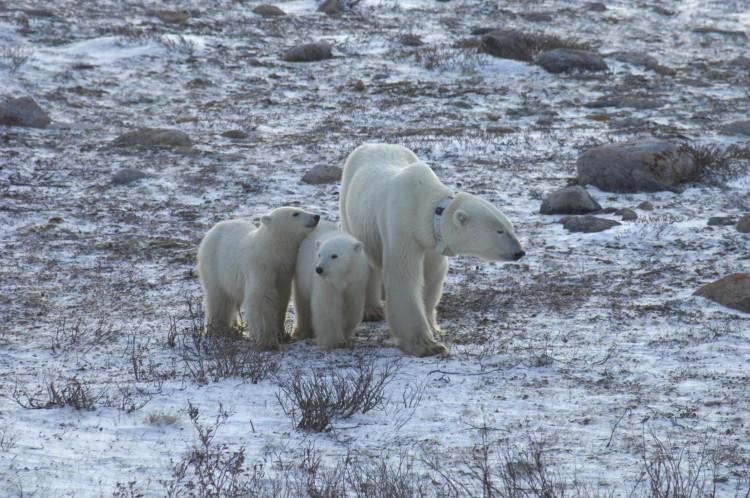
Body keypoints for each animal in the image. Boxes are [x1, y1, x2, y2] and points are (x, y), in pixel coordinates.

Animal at [196, 206, 320, 350]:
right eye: (295, 213)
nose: (316, 216)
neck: (270, 253)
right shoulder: (260, 269)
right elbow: (262, 299)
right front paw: (268, 341)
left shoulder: (283, 273)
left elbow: (281, 299)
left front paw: (281, 333)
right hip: (214, 265)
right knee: (219, 297)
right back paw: (218, 329)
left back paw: (235, 326)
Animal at [292, 221, 369, 349]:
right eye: (319, 254)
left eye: (334, 255)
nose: (319, 269)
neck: (341, 277)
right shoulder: (327, 283)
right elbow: (327, 306)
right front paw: (335, 341)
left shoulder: (355, 281)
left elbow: (352, 306)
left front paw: (346, 334)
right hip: (302, 272)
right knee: (302, 301)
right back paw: (303, 331)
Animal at [339, 143, 525, 356]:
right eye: (499, 230)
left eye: (511, 227)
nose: (520, 252)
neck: (422, 204)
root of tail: (372, 144)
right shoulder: (403, 230)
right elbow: (404, 277)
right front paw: (428, 345)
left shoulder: (431, 242)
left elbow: (432, 276)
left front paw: (434, 327)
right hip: (347, 205)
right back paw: (372, 310)